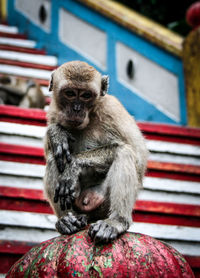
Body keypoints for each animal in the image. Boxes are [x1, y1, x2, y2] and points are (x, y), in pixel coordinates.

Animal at [43, 59, 148, 242]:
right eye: (70, 93)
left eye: (86, 95)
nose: (77, 108)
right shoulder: (54, 110)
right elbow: (50, 148)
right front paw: (57, 133)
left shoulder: (112, 110)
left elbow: (137, 155)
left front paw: (74, 165)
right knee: (56, 157)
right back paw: (67, 220)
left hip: (101, 204)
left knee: (124, 152)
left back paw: (116, 221)